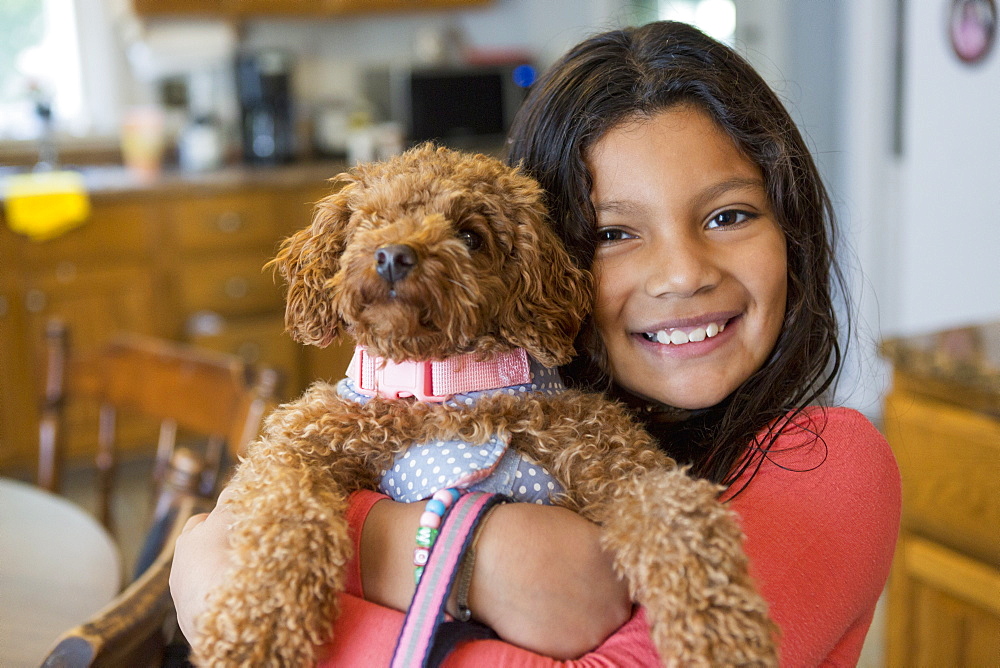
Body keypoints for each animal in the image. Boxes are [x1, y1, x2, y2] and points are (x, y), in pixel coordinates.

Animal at [191, 146, 776, 668]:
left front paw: (725, 640)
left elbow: (681, 523)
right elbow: (289, 522)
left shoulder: (620, 461)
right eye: (371, 220)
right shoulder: (297, 449)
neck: (444, 385)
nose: (393, 255)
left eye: (471, 235)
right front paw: (256, 635)